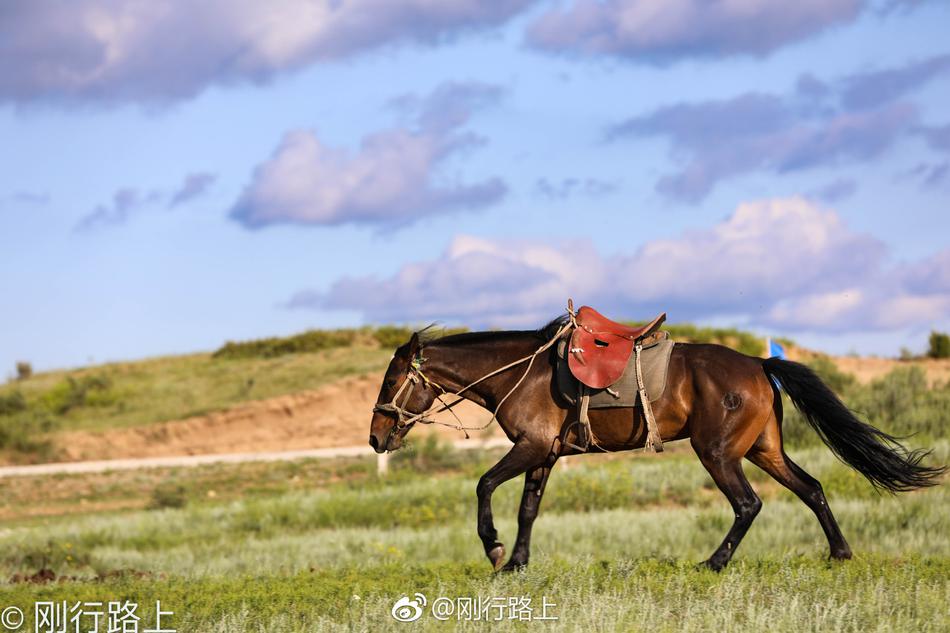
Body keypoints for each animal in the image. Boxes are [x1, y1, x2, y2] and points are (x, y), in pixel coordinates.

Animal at [368, 318, 948, 572]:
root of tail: (759, 363)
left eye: (391, 379)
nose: (375, 438)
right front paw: (516, 563)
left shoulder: (531, 448)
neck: (522, 372)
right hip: (763, 450)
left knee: (748, 504)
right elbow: (528, 510)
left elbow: (485, 485)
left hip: (719, 453)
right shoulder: (546, 454)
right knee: (812, 488)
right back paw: (839, 553)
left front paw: (492, 548)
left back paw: (714, 563)